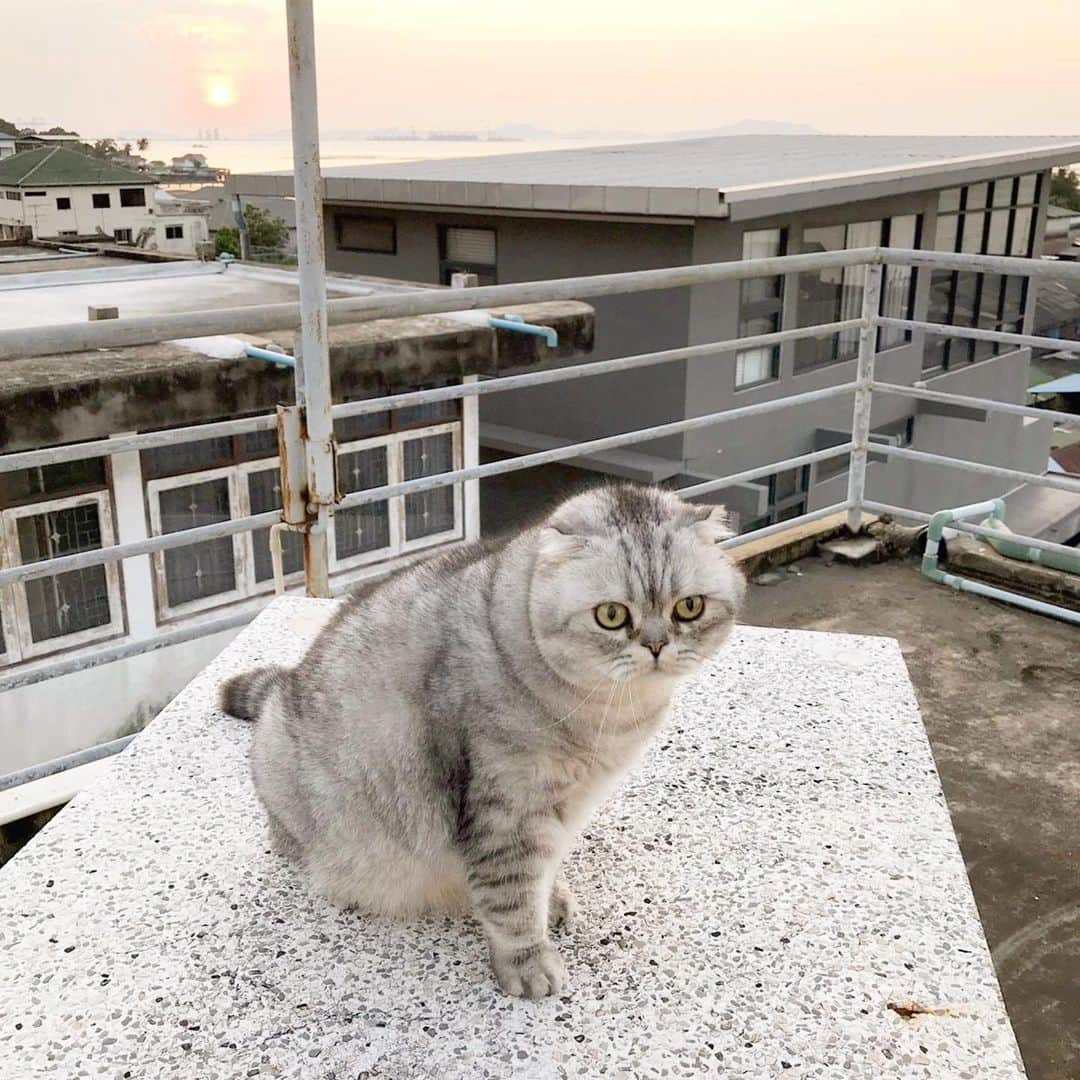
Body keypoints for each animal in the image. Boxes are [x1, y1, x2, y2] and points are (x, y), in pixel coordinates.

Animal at [219, 486, 743, 997]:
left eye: (689, 607)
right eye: (612, 615)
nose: (656, 647)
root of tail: (285, 685)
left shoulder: (560, 810)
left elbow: (539, 876)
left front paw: (551, 900)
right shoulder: (508, 811)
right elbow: (511, 900)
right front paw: (528, 964)